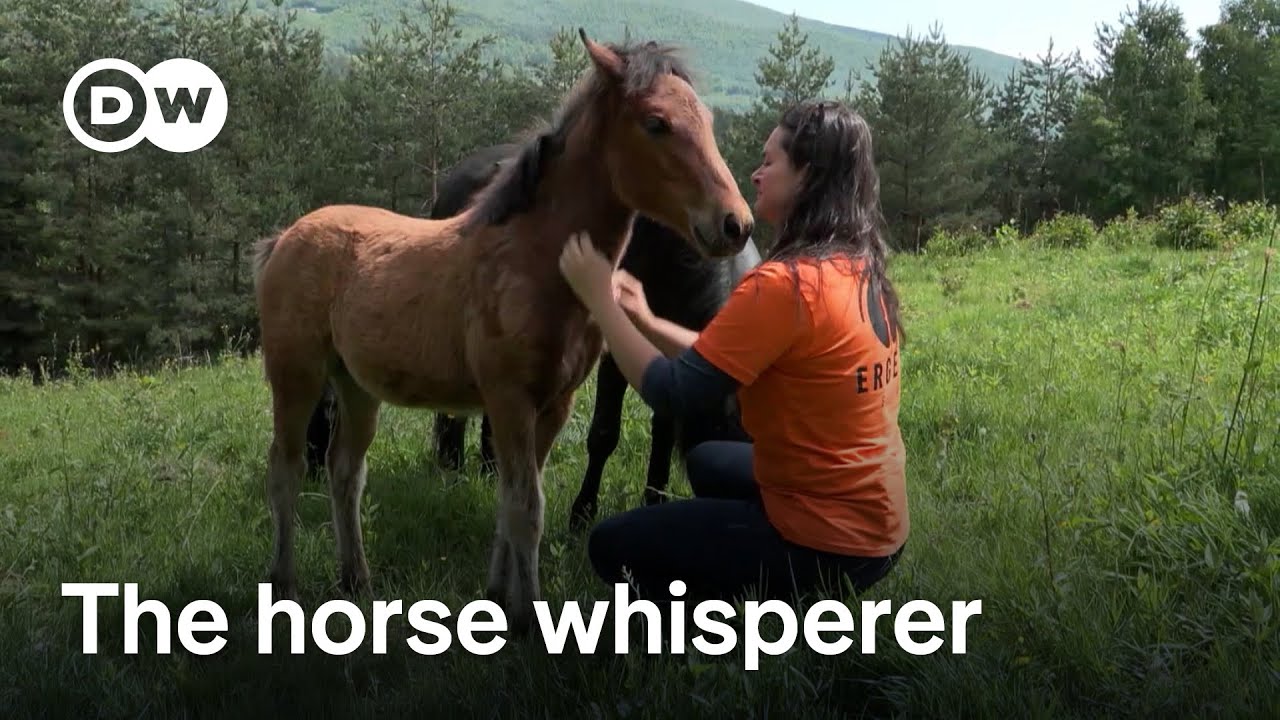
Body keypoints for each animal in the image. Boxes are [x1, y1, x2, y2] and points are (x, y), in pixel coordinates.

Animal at [401, 142, 761, 532]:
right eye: (722, 432)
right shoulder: (611, 353)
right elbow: (604, 433)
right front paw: (582, 514)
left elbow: (663, 430)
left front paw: (653, 499)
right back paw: (452, 468)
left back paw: (491, 469)